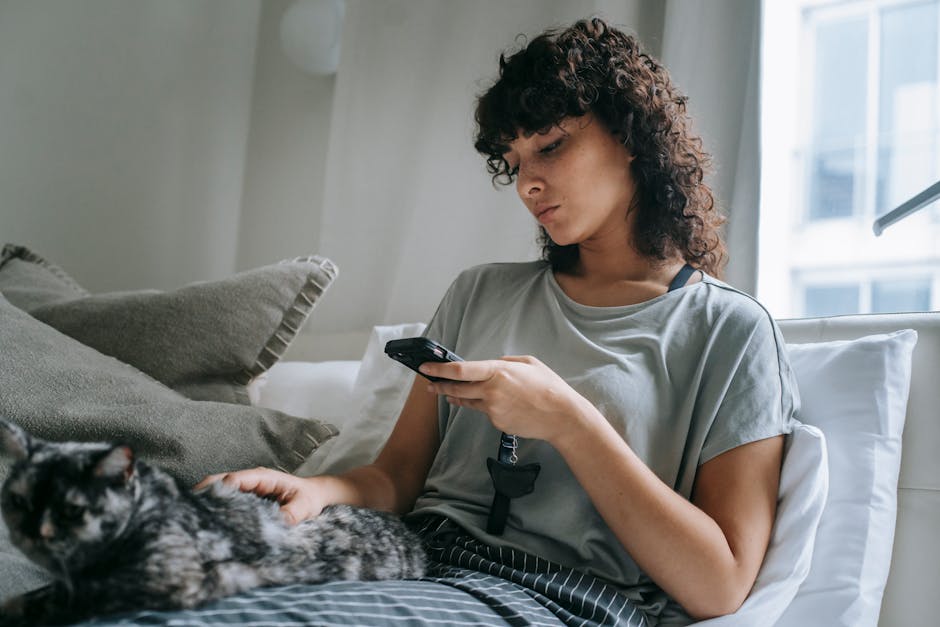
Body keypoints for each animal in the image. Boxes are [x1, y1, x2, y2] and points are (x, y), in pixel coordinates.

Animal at [0, 420, 426, 624]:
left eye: (72, 510)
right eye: (18, 501)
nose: (32, 530)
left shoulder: (163, 579)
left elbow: (68, 598)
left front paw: (19, 608)